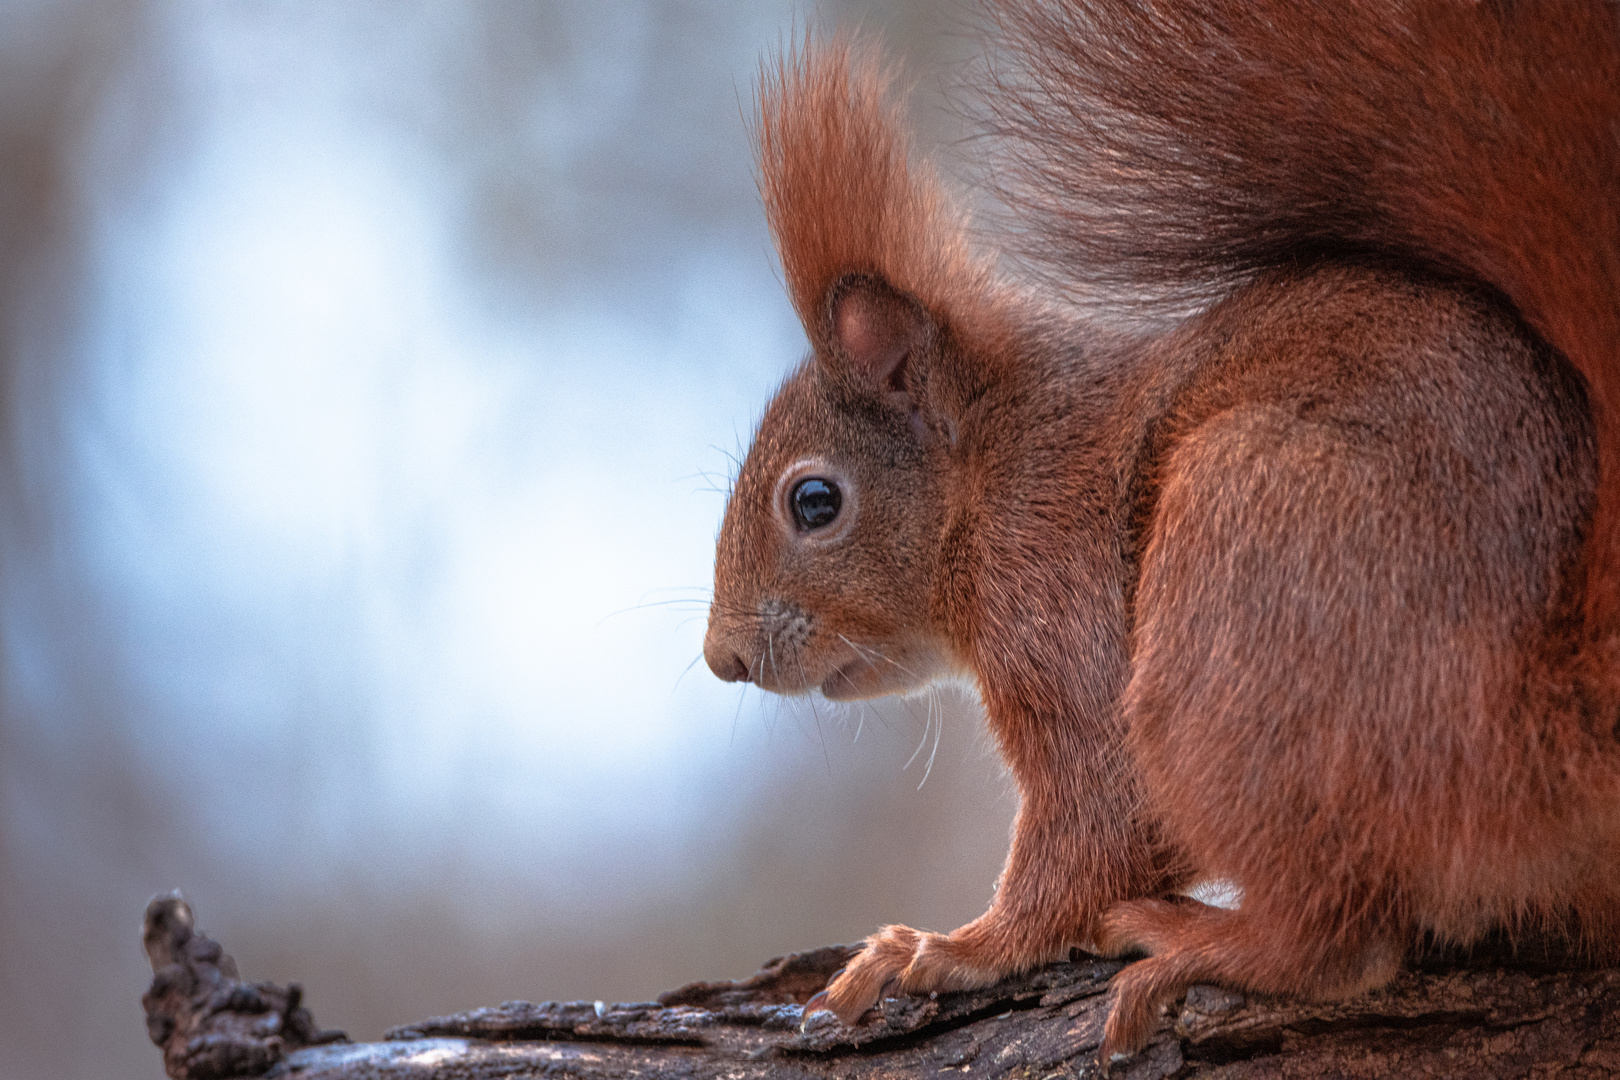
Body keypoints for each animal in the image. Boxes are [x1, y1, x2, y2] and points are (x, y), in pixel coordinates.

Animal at [699, 0, 1620, 1062]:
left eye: (814, 501)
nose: (722, 659)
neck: (993, 468)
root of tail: (1542, 725)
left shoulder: (1052, 587)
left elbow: (1099, 810)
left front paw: (948, 948)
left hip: (1245, 572)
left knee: (1342, 945)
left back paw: (1195, 944)